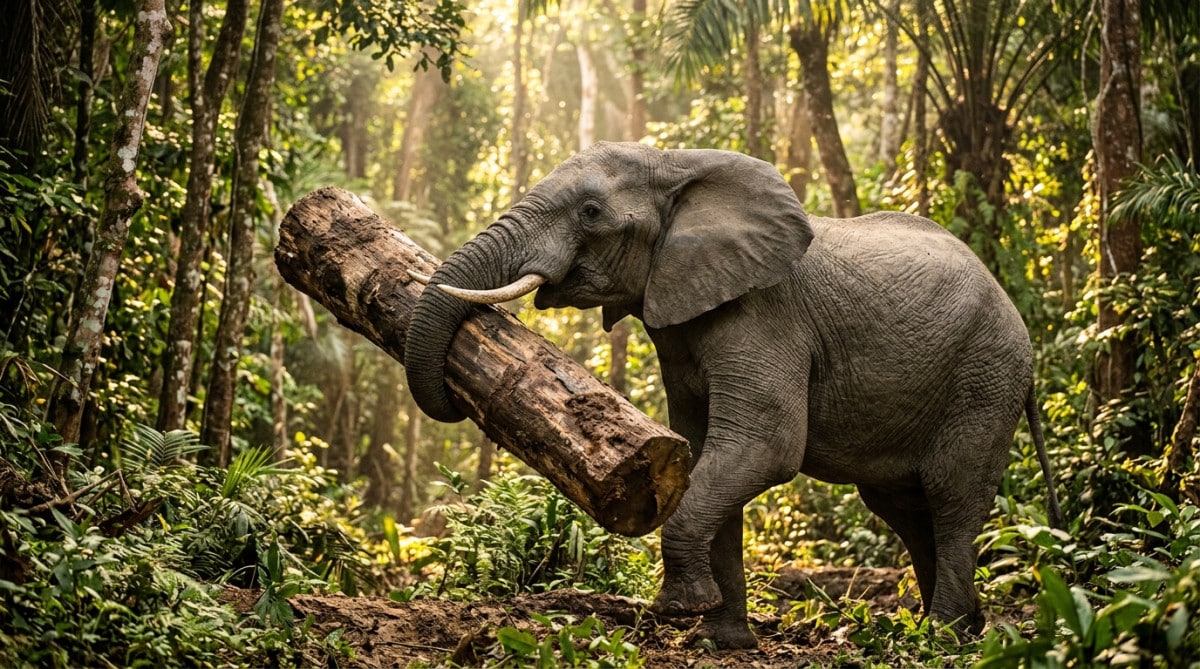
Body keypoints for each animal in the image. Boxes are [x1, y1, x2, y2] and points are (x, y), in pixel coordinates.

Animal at [403, 141, 1062, 649]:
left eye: (591, 212)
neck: (676, 164)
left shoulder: (763, 313)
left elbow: (762, 447)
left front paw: (681, 612)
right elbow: (699, 453)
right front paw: (721, 641)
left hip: (986, 377)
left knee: (952, 497)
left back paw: (941, 640)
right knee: (902, 507)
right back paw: (962, 629)